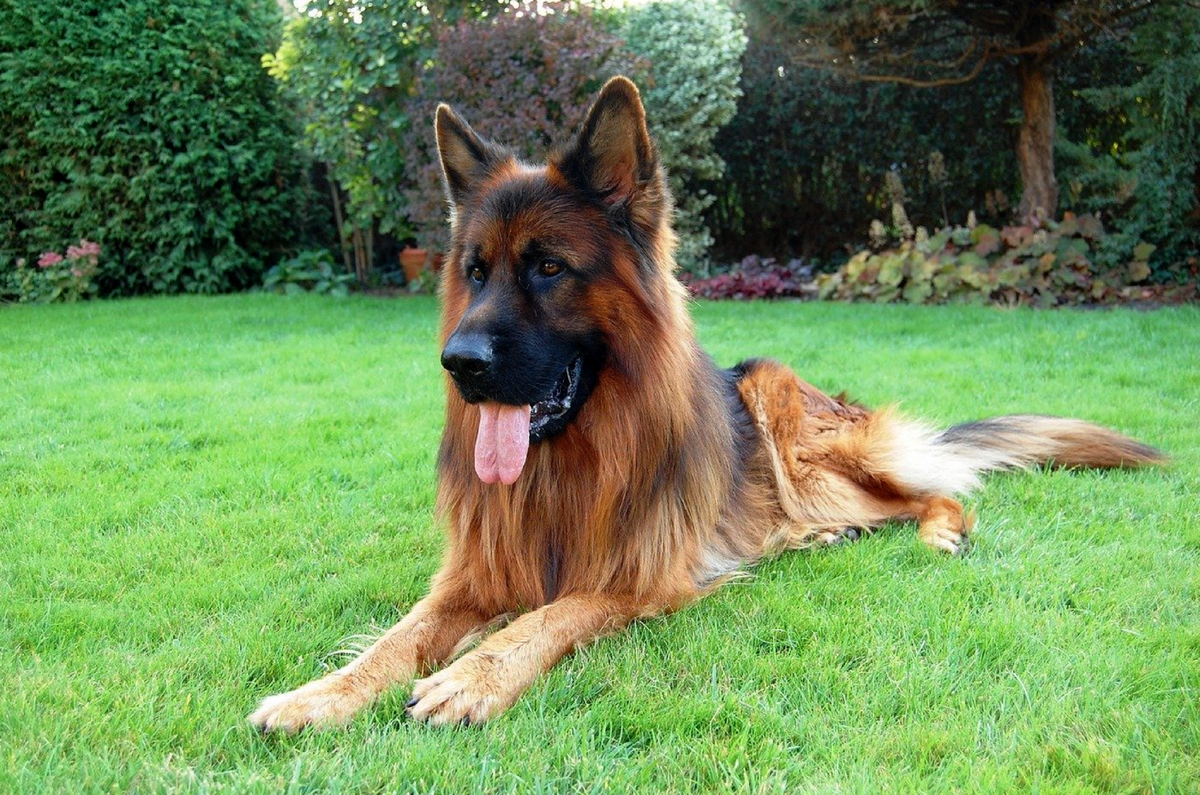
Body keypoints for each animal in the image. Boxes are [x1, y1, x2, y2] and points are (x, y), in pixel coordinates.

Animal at [249, 76, 1164, 731]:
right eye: (474, 271)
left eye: (548, 267)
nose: (459, 364)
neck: (568, 465)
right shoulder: (474, 573)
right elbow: (397, 635)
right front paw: (319, 692)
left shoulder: (643, 576)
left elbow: (547, 617)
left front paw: (471, 675)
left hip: (789, 420)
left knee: (930, 490)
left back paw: (932, 532)